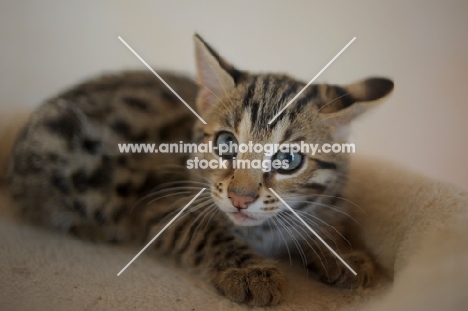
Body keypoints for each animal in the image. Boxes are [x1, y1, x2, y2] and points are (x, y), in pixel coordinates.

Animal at [7, 34, 394, 308]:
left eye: (288, 160)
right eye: (225, 143)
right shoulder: (159, 202)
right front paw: (250, 271)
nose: (240, 198)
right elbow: (204, 232)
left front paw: (342, 252)